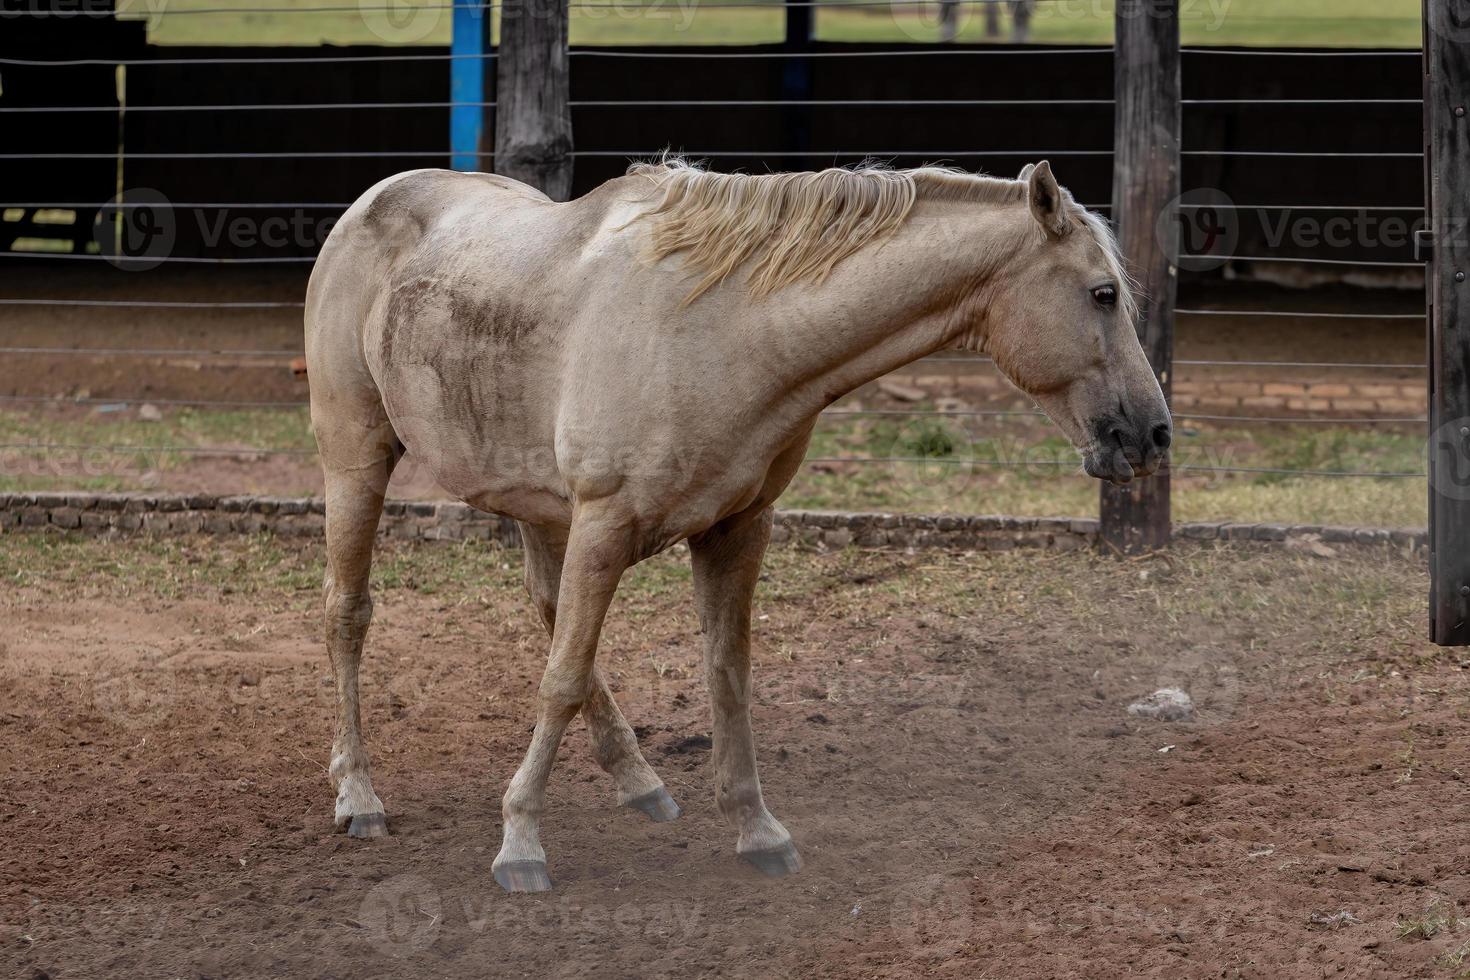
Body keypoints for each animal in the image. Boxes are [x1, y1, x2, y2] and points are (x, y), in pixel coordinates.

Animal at [307, 157, 1170, 893]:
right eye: (1102, 293)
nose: (1153, 434)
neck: (723, 329)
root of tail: (372, 200)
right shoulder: (605, 524)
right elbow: (560, 678)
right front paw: (520, 843)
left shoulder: (737, 530)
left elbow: (725, 677)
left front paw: (757, 830)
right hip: (356, 464)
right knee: (350, 615)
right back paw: (359, 798)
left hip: (533, 505)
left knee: (549, 612)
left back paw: (640, 783)